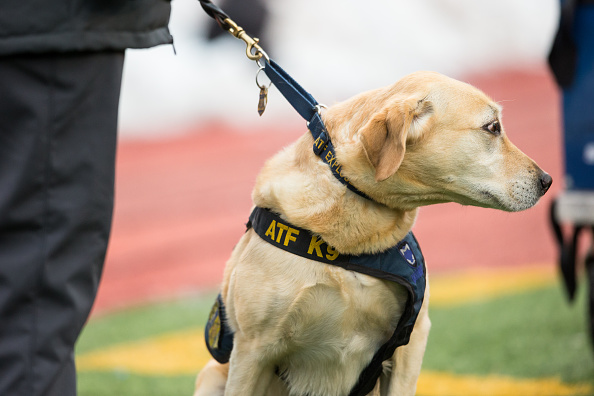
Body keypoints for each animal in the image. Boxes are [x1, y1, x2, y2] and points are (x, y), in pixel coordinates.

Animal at [194, 72, 552, 396]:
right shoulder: (252, 352)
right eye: (492, 127)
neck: (351, 244)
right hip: (213, 375)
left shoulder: (411, 340)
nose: (547, 181)